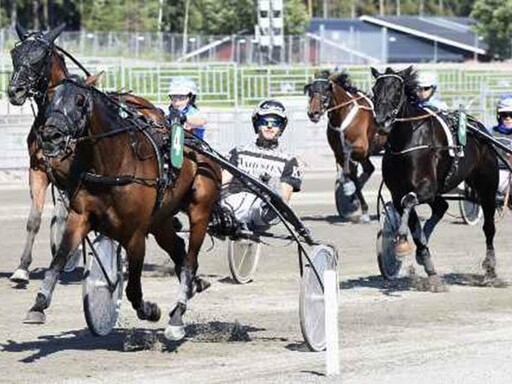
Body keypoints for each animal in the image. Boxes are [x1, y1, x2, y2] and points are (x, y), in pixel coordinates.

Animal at [23, 76, 220, 342]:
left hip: (200, 211)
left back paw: (177, 316)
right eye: (49, 97)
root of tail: (199, 146)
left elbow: (133, 288)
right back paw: (193, 288)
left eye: (80, 101)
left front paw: (150, 310)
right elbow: (59, 258)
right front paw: (38, 304)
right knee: (178, 248)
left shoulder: (135, 234)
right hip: (160, 221)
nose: (51, 136)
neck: (114, 164)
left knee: (189, 261)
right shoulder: (79, 217)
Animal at [304, 71, 384, 222]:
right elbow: (351, 174)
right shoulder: (338, 152)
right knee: (369, 169)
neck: (343, 115)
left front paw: (348, 189)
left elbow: (349, 167)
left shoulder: (361, 148)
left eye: (325, 90)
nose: (313, 113)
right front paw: (356, 203)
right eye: (310, 91)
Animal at [370, 66, 498, 290]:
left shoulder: (426, 187)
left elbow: (409, 201)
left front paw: (401, 242)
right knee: (441, 206)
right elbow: (411, 219)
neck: (406, 141)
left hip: (487, 187)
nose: (382, 121)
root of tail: (482, 132)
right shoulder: (398, 192)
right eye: (374, 90)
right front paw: (428, 265)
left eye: (397, 90)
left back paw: (490, 270)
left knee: (488, 227)